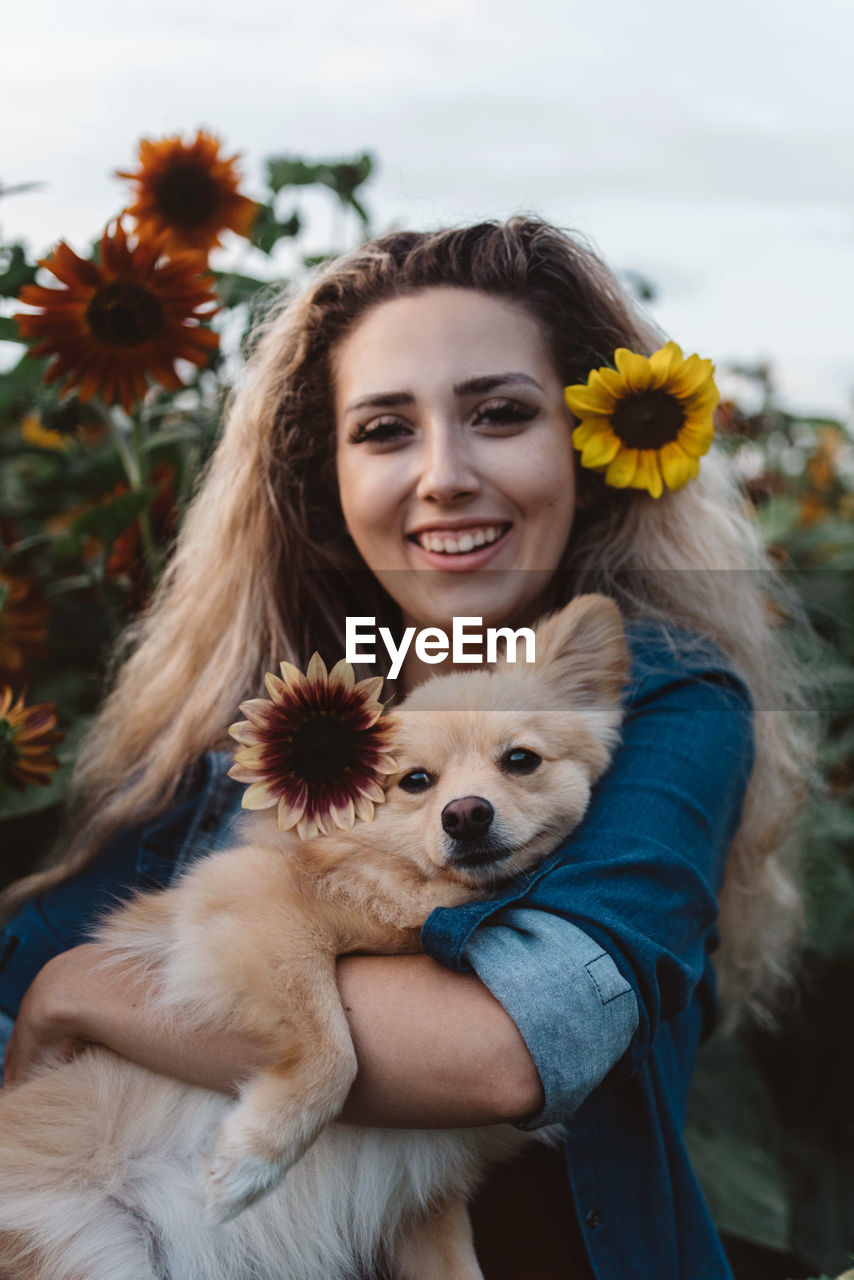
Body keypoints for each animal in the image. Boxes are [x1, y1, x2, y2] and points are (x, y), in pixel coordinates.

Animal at [0, 593, 627, 1274]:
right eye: (415, 781)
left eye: (521, 760)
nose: (465, 814)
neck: (415, 894)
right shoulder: (253, 904)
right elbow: (333, 1049)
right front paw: (253, 1162)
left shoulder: (423, 1207)